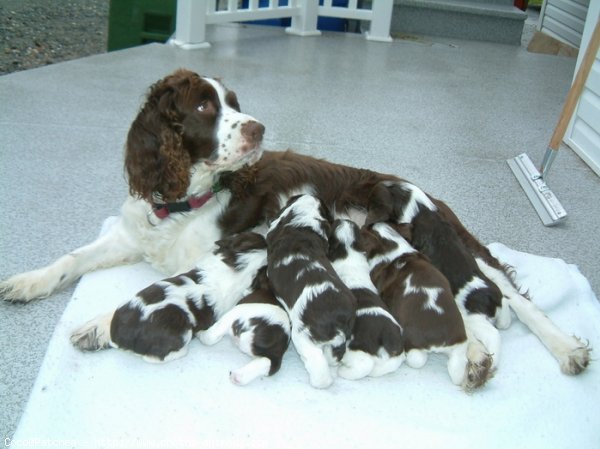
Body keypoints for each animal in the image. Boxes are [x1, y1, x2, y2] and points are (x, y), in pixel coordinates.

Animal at [326, 219, 406, 380]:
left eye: (334, 224)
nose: (340, 219)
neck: (348, 250)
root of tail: (388, 337)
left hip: (359, 347)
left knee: (364, 364)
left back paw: (343, 370)